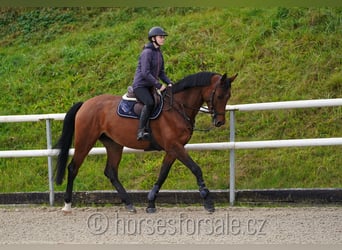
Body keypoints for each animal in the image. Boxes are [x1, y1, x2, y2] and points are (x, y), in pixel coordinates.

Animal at [56, 71, 238, 214]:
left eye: (228, 96)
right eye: (219, 96)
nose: (219, 122)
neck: (178, 107)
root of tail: (85, 104)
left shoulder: (173, 149)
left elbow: (163, 174)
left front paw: (151, 202)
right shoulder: (175, 146)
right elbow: (196, 169)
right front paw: (208, 201)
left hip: (114, 144)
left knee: (111, 172)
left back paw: (129, 204)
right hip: (85, 140)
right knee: (73, 168)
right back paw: (67, 205)